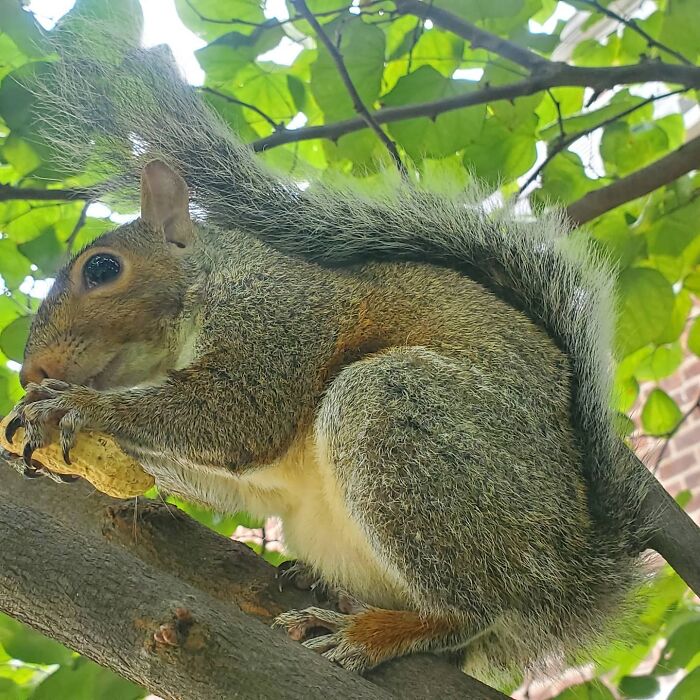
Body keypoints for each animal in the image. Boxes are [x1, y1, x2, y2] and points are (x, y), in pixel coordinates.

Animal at [4, 32, 653, 686]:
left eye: (102, 269)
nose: (32, 373)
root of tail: (574, 577)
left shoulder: (280, 312)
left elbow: (238, 412)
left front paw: (73, 405)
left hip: (404, 421)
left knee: (471, 610)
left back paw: (371, 631)